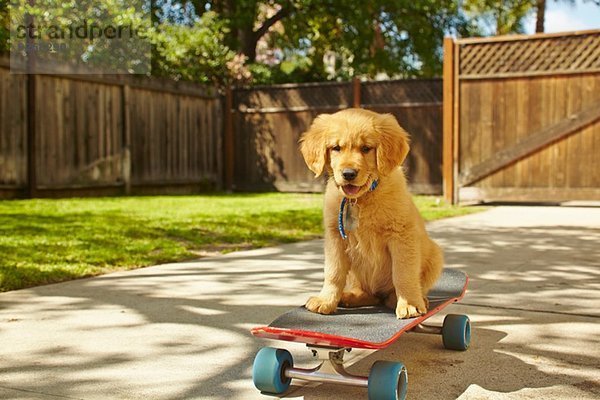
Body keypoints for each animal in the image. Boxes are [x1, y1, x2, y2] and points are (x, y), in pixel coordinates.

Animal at [298, 108, 442, 318]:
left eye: (366, 148)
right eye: (336, 148)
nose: (348, 174)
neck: (361, 199)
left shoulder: (402, 235)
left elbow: (403, 273)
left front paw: (409, 304)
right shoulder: (335, 237)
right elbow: (333, 272)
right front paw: (326, 300)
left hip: (435, 255)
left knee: (397, 290)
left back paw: (403, 299)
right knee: (368, 294)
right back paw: (349, 297)